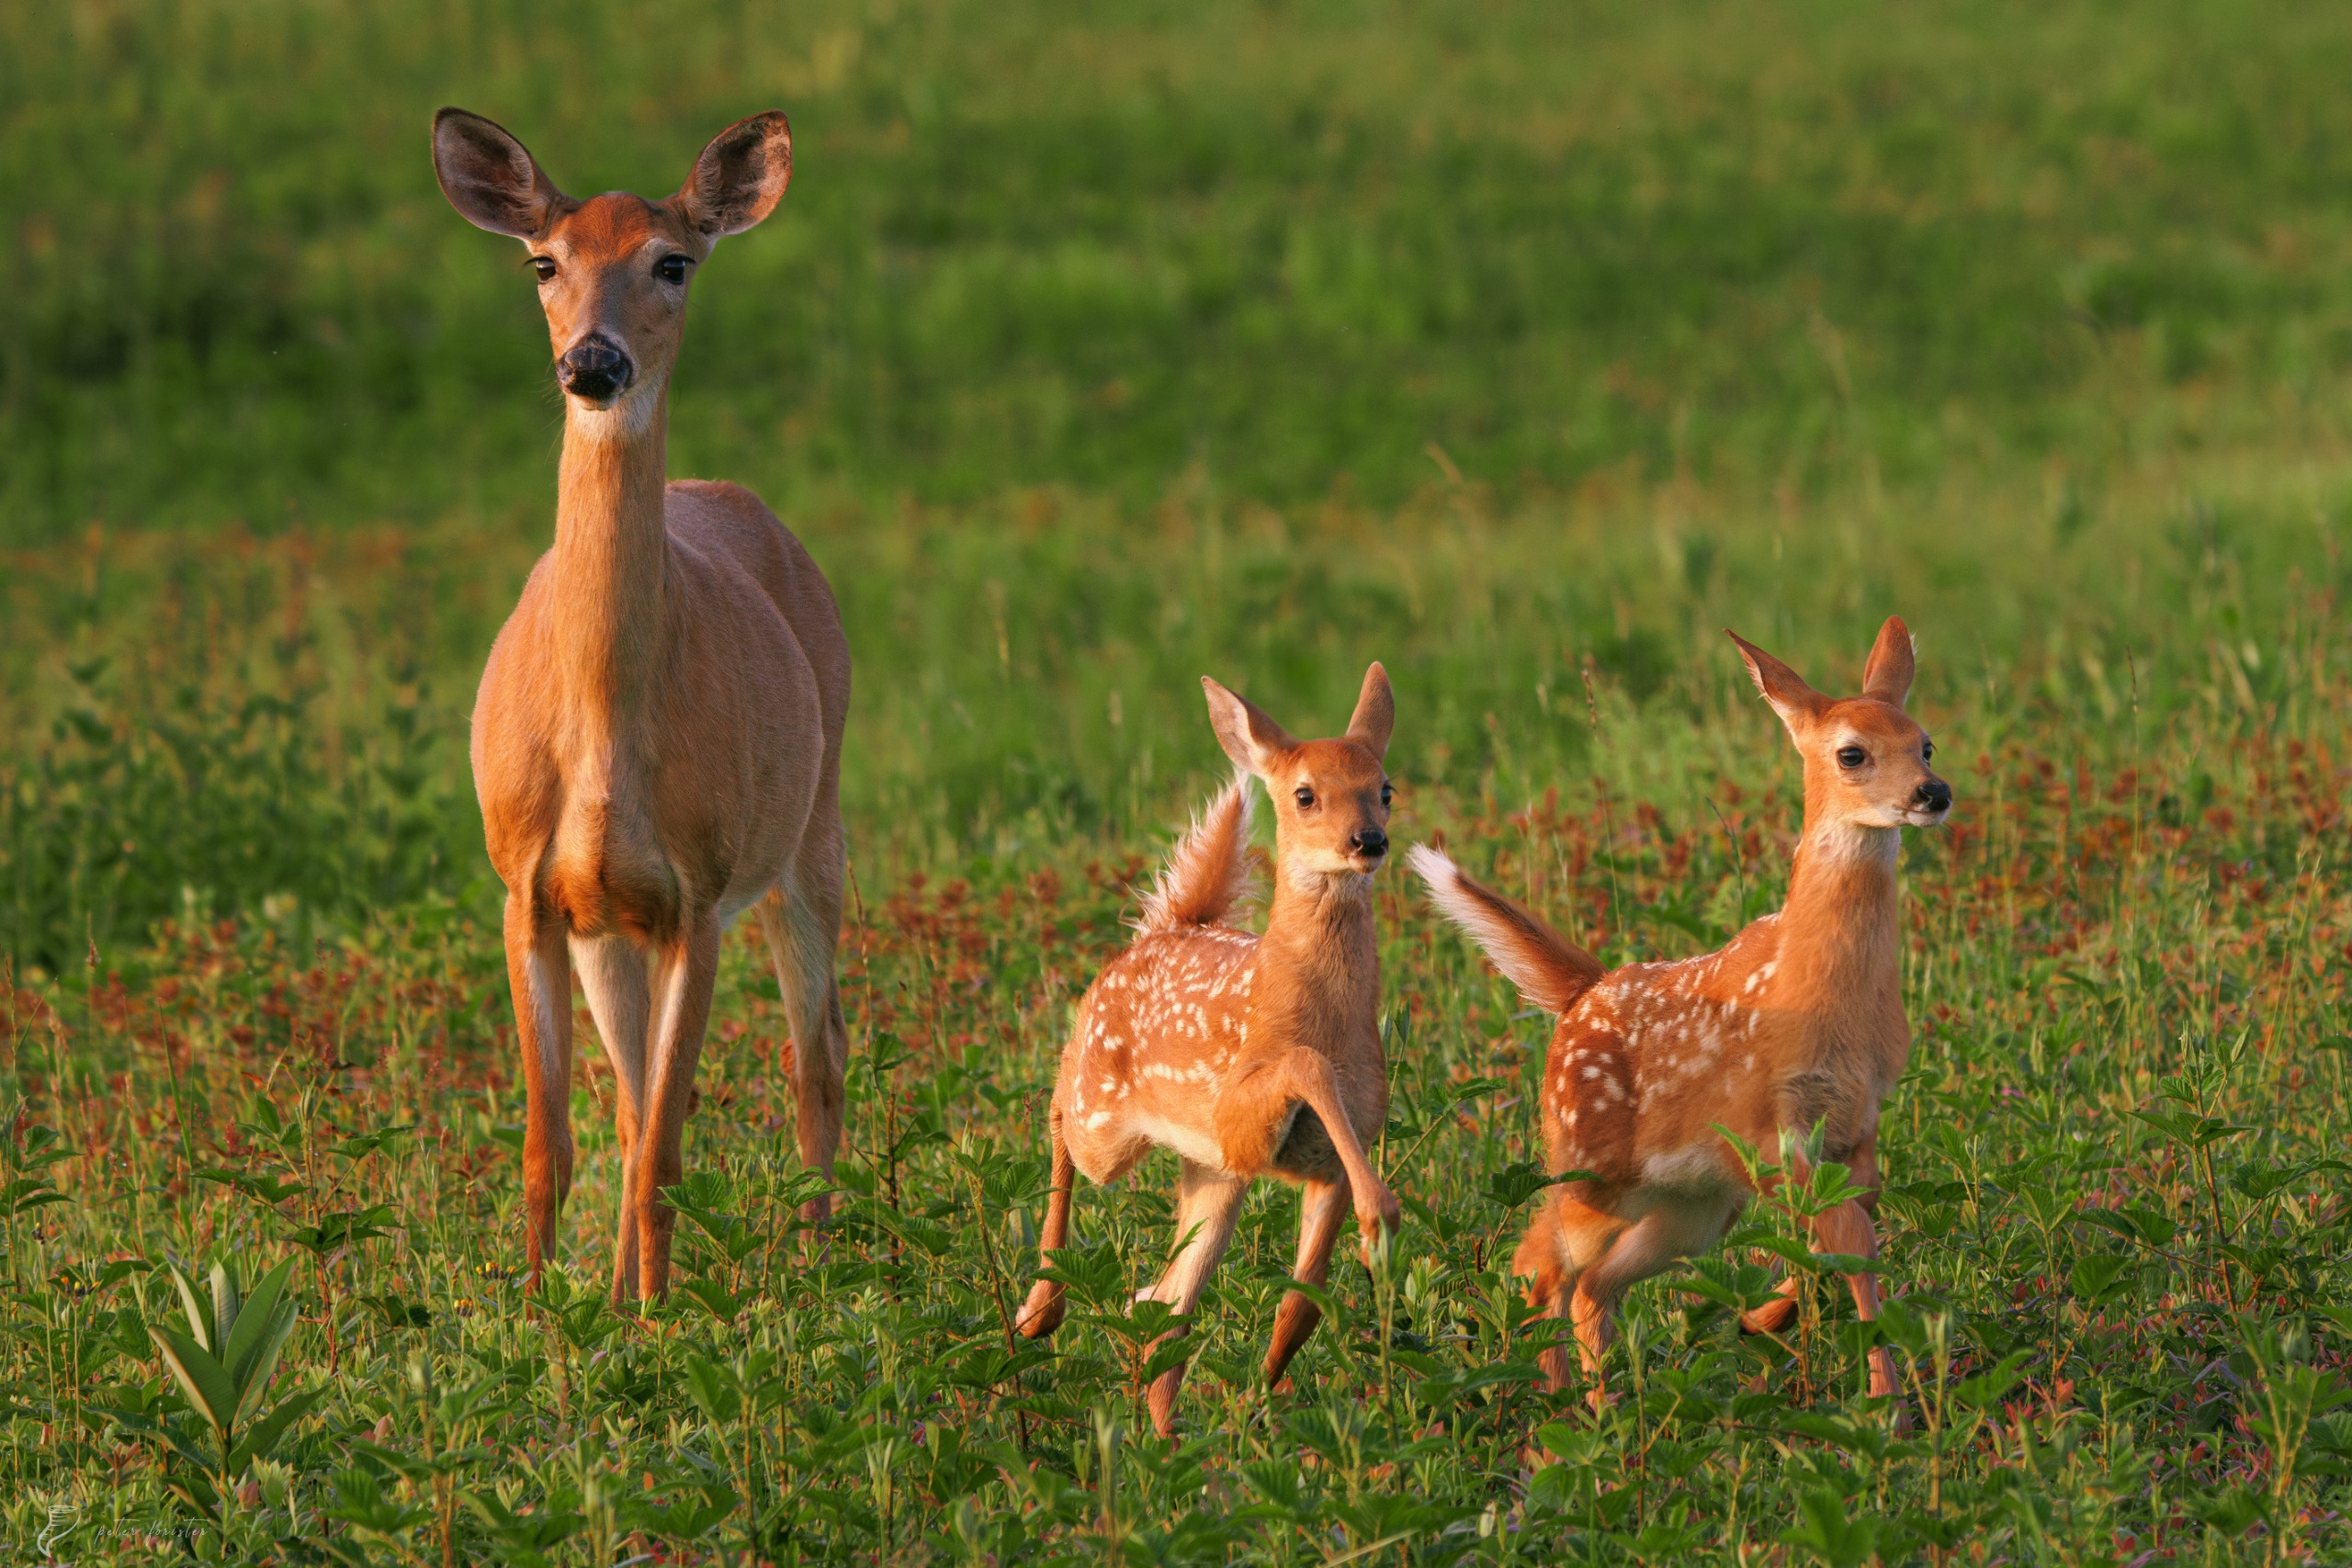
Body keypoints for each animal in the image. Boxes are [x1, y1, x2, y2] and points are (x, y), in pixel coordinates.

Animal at [431, 108, 851, 1305]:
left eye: (673, 261)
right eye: (543, 262)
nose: (591, 362)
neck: (606, 733)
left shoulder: (698, 892)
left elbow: (667, 1146)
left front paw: (661, 1320)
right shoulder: (527, 887)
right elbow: (553, 1141)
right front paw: (542, 1315)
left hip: (809, 832)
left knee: (817, 1067)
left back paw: (827, 1273)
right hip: (607, 927)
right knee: (631, 1106)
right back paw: (618, 1292)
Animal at [1014, 666, 1405, 1437]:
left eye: (1383, 787)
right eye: (1305, 793)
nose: (1367, 839)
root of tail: (1165, 925)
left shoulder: (1323, 1166)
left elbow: (1303, 1303)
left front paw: (1263, 1388)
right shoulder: (1238, 1114)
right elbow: (1303, 1064)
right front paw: (1383, 1215)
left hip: (1210, 1176)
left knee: (1163, 1305)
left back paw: (1171, 1444)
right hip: (1111, 1125)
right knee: (1059, 1105)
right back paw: (1038, 1312)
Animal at [1410, 618, 1950, 1408]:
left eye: (1925, 742)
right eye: (1853, 752)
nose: (1932, 792)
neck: (1822, 990)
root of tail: (1583, 990)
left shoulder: (1859, 1118)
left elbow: (1852, 1238)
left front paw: (1779, 1325)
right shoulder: (1768, 1120)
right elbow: (1843, 1240)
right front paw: (1879, 1401)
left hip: (1689, 1204)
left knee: (1593, 1285)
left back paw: (1602, 1412)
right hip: (1588, 1164)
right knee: (1538, 1263)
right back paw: (1560, 1415)